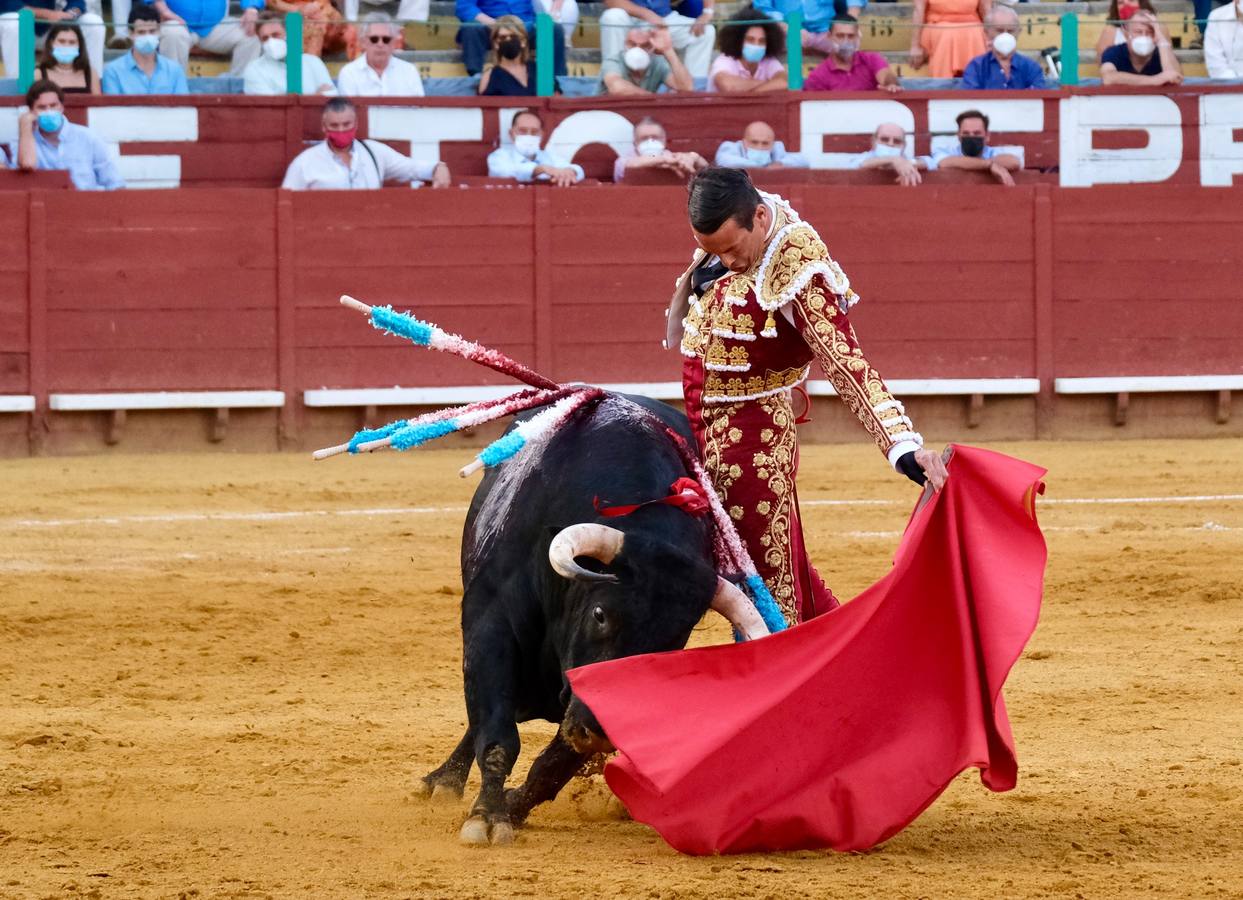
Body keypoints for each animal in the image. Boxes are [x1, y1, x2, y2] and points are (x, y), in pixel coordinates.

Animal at [422, 392, 725, 845]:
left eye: (674, 639)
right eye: (600, 614)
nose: (600, 732)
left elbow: (555, 762)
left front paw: (512, 807)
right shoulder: (489, 625)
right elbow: (497, 736)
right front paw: (486, 817)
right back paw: (443, 781)